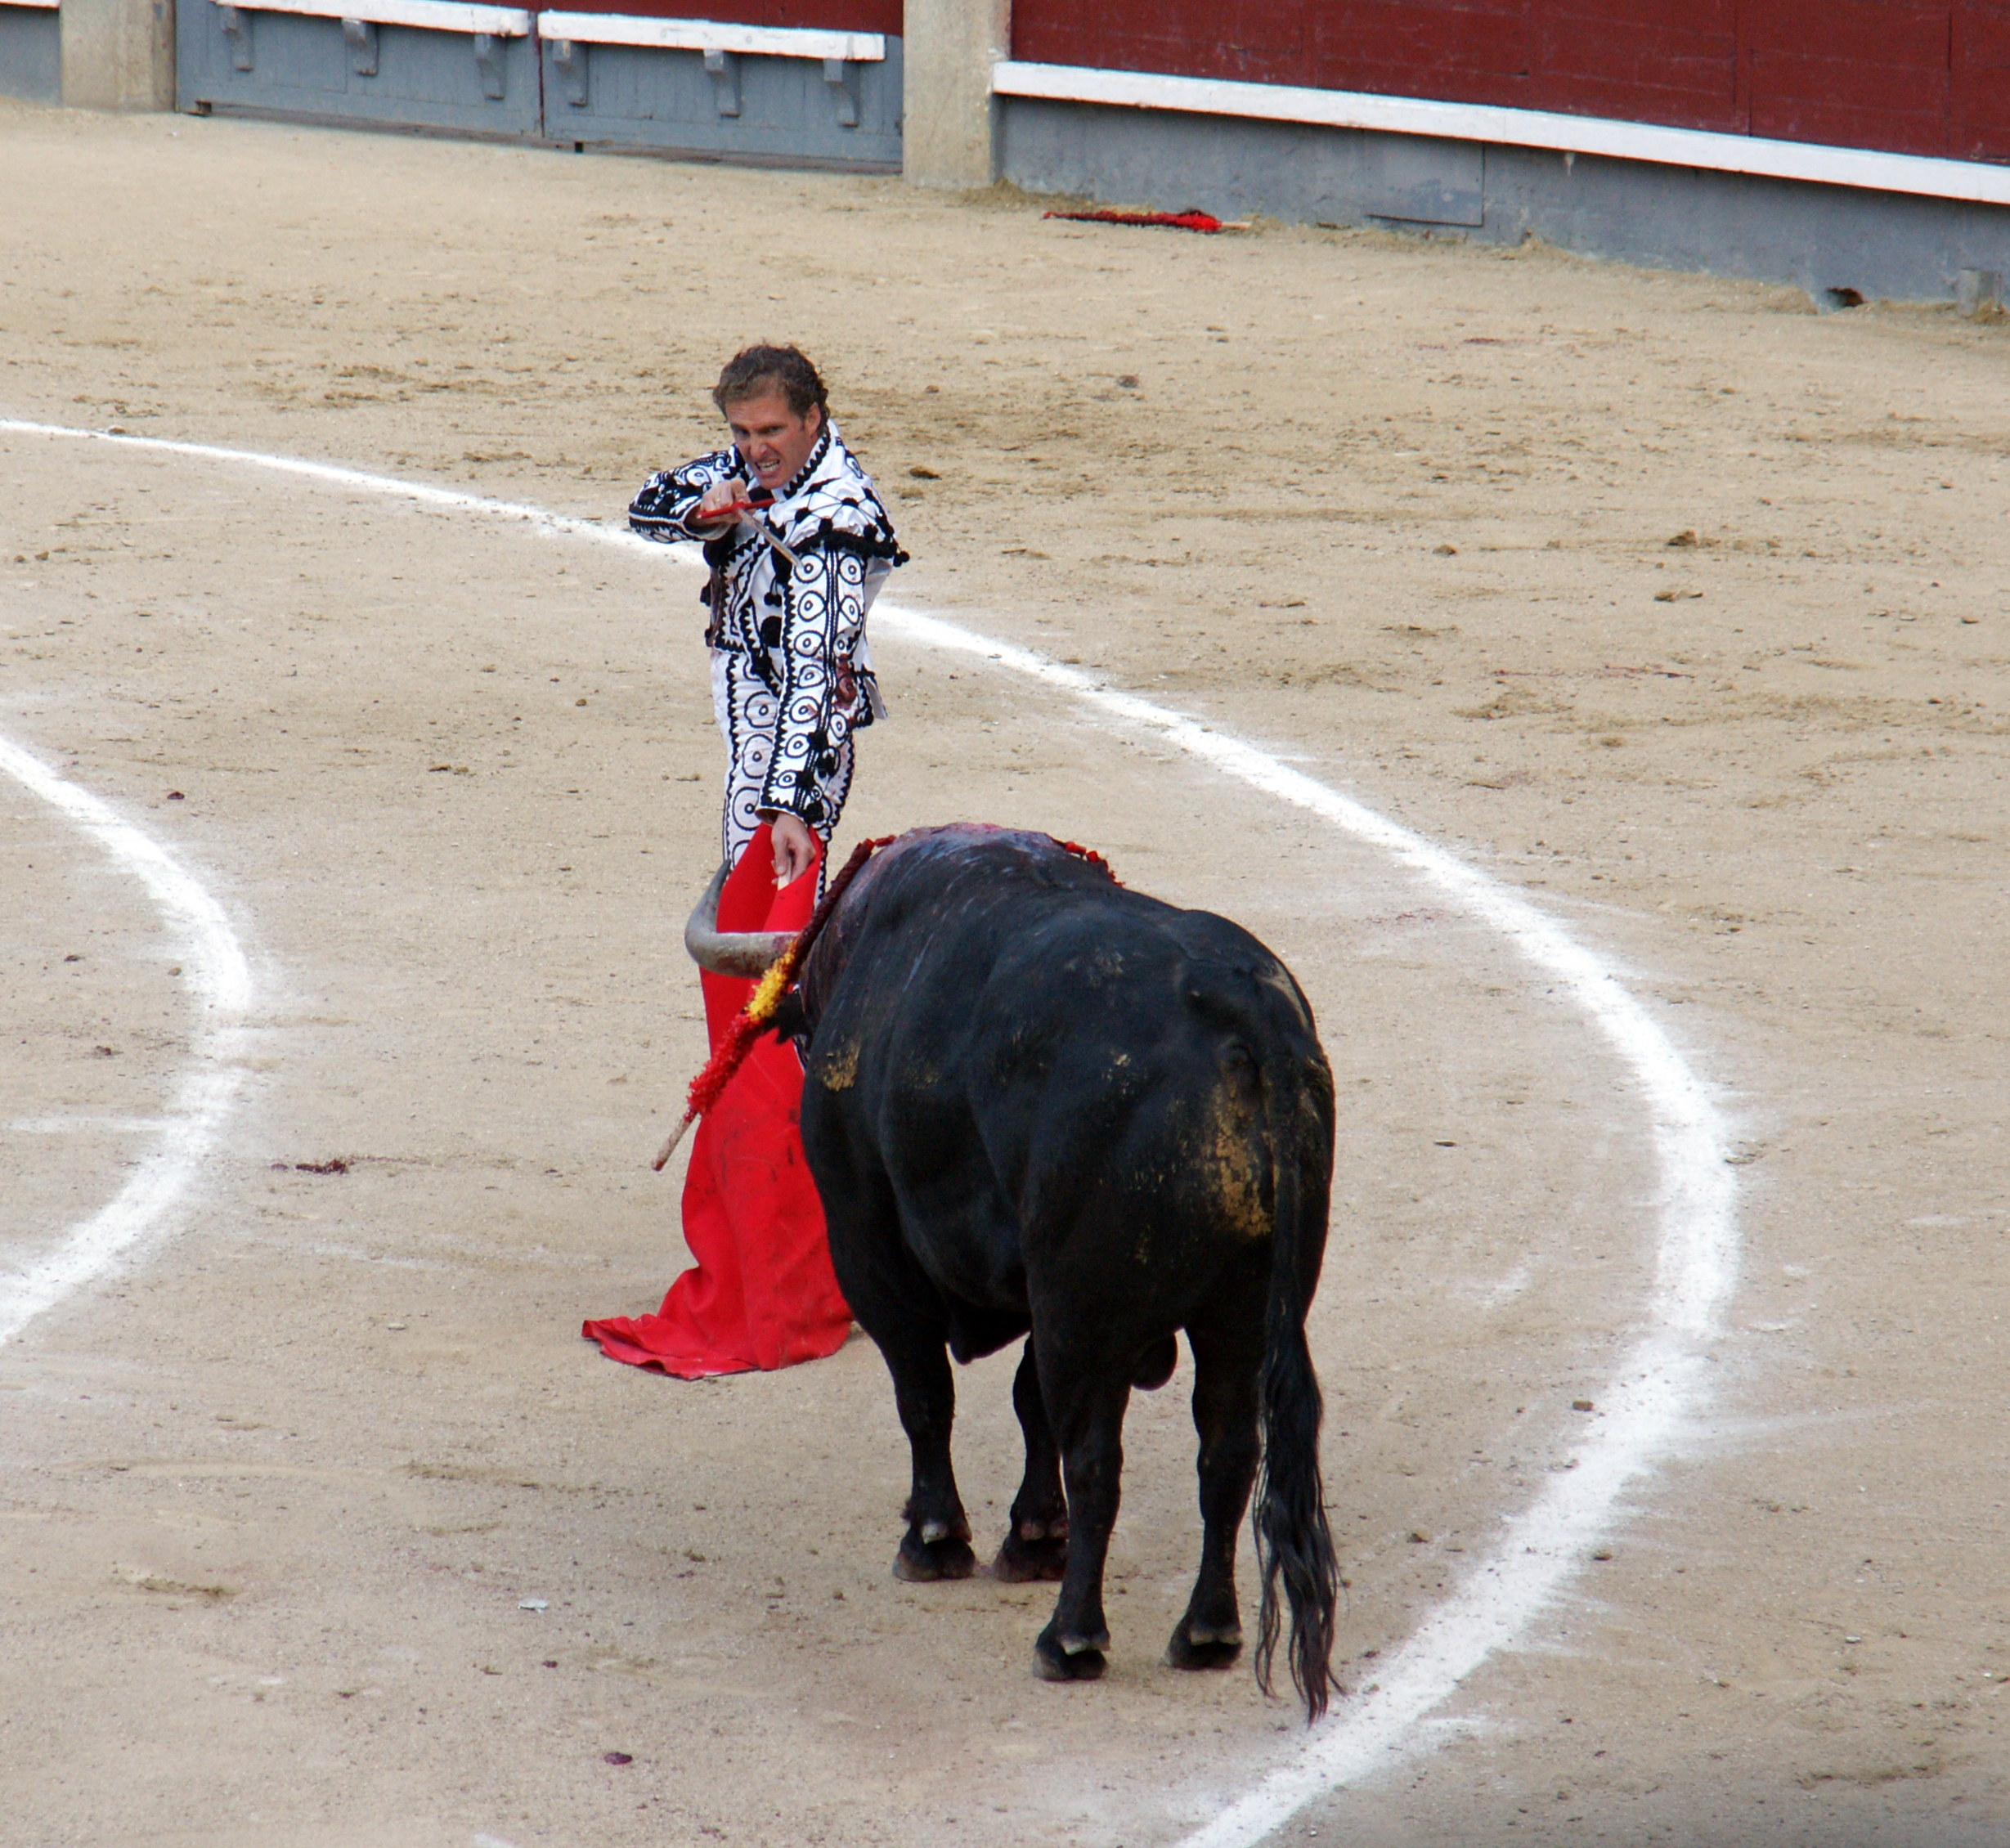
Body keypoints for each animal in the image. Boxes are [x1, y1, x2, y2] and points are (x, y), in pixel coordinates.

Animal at [687, 823, 1340, 1718]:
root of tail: (1238, 1008)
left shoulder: (872, 1247)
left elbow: (926, 1393)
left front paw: (935, 1539)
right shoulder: (1042, 1282)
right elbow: (1030, 1402)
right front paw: (1030, 1536)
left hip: (1087, 1307)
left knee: (1097, 1461)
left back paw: (1070, 1639)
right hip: (1238, 1314)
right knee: (1228, 1451)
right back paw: (1205, 1633)